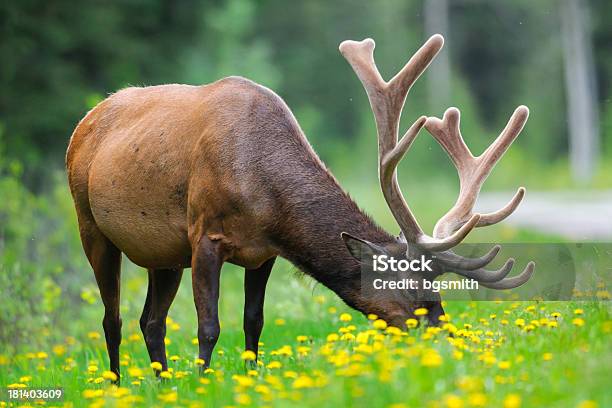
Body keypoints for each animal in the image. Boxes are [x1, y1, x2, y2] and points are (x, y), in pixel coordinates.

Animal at [67, 33, 532, 380]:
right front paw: (203, 384)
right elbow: (209, 326)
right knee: (113, 320)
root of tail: (83, 122)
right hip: (90, 224)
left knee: (151, 321)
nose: (451, 348)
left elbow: (253, 321)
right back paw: (116, 385)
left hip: (164, 255)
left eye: (437, 297)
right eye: (418, 297)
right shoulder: (204, 234)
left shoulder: (263, 253)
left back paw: (163, 385)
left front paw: (249, 379)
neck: (260, 186)